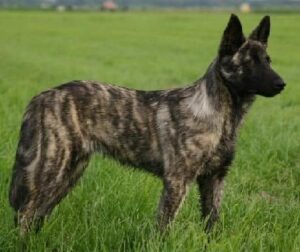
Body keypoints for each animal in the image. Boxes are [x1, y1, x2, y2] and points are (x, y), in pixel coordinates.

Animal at [8, 14, 286, 234]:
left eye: (268, 60)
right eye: (249, 62)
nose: (282, 84)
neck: (220, 113)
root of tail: (42, 96)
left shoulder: (214, 179)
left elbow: (212, 224)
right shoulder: (177, 181)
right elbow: (163, 228)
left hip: (70, 173)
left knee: (38, 214)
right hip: (51, 169)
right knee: (25, 214)